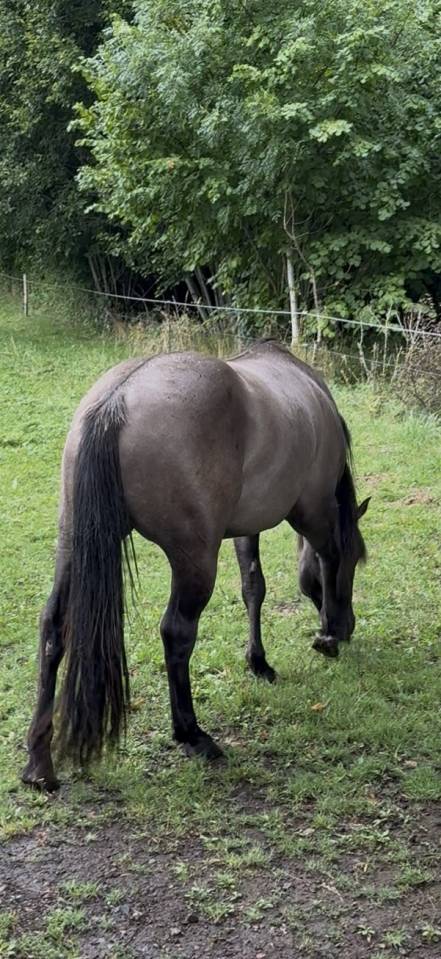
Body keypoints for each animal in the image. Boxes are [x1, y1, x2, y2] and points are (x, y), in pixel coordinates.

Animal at [22, 340, 369, 791]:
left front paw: (259, 662)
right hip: (196, 561)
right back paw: (191, 733)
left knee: (53, 628)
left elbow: (253, 587)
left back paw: (39, 761)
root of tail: (116, 400)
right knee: (176, 633)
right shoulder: (313, 511)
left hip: (73, 545)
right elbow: (326, 561)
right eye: (357, 561)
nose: (348, 627)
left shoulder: (246, 526)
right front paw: (327, 633)